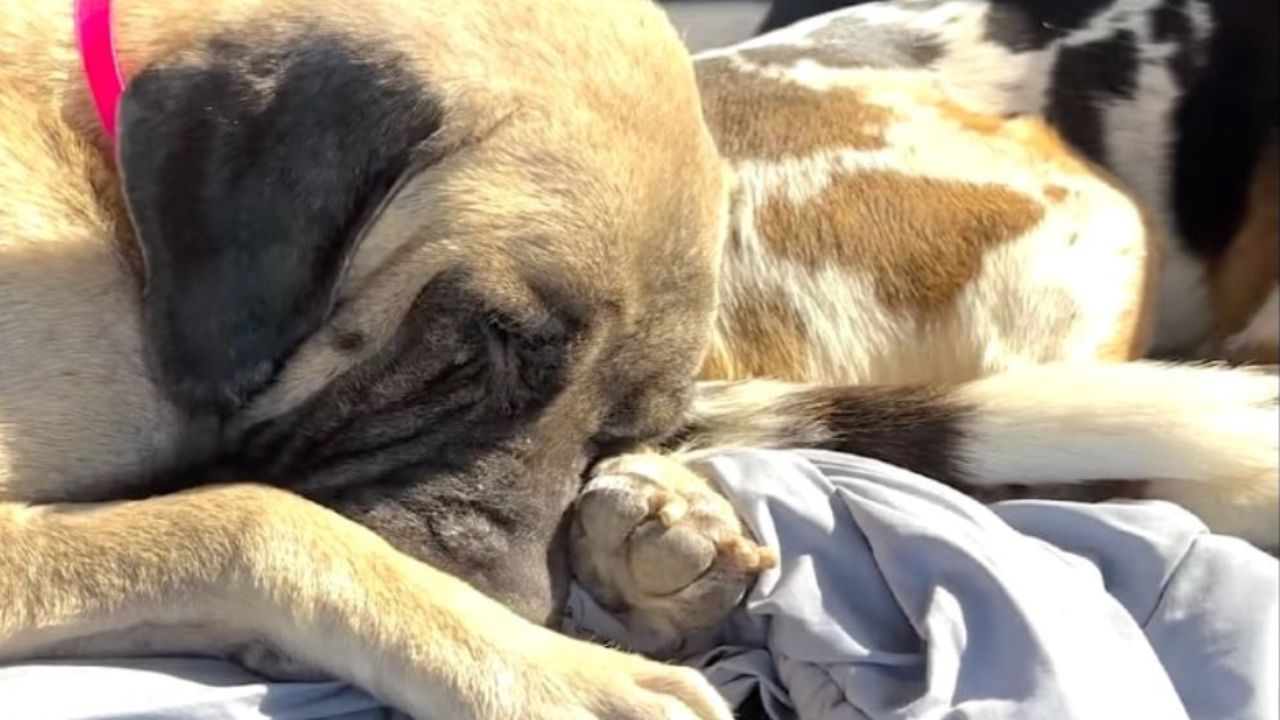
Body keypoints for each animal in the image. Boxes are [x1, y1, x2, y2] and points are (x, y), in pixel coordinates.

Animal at [0, 1, 1274, 717]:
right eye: (475, 346)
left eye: (625, 423)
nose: (524, 607)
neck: (98, 168)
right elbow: (255, 523)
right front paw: (557, 677)